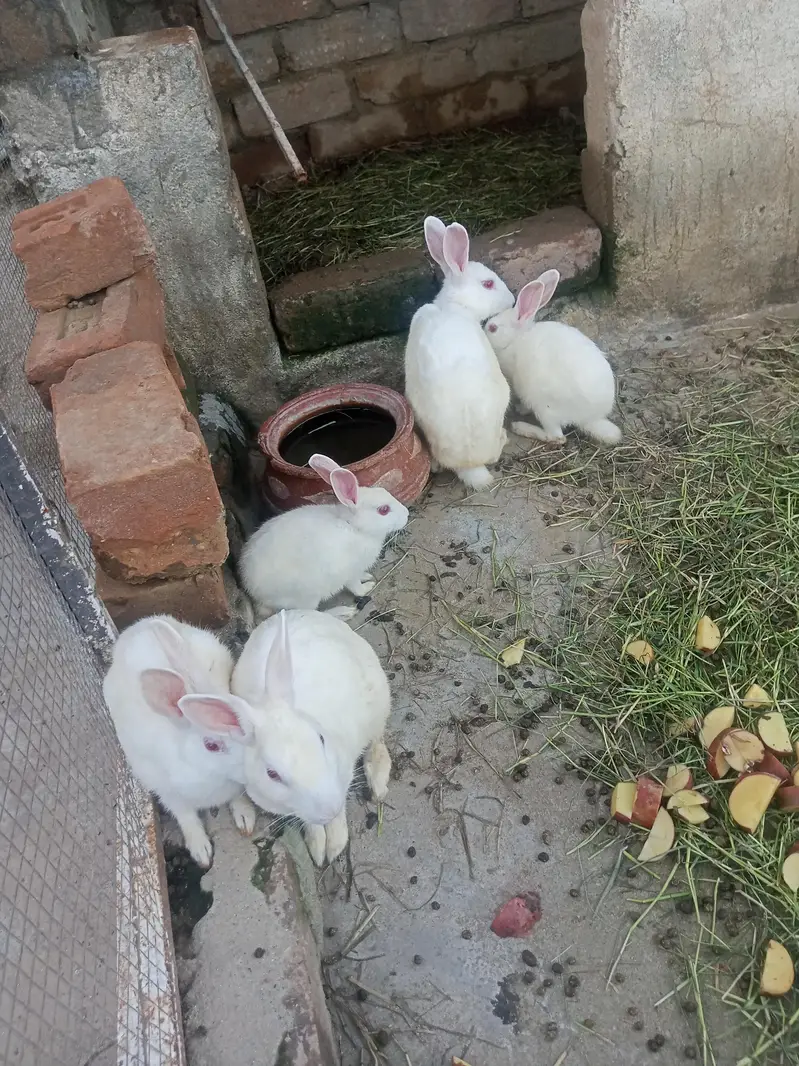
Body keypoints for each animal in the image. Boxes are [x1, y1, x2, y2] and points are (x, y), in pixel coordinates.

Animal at [103, 614, 257, 867]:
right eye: (211, 745)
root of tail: (135, 628)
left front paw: (245, 817)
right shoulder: (166, 790)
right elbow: (185, 814)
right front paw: (201, 851)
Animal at [230, 609, 392, 866]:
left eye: (321, 739)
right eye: (272, 774)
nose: (327, 807)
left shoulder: (340, 777)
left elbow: (338, 810)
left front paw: (334, 845)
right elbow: (312, 821)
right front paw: (317, 847)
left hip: (379, 701)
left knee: (377, 742)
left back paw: (377, 782)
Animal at [238, 453, 408, 622]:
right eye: (383, 510)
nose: (407, 514)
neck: (353, 527)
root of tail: (257, 596)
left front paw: (367, 576)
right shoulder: (350, 573)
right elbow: (356, 588)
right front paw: (368, 586)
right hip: (307, 596)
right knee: (311, 612)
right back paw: (343, 612)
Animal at [484, 269, 622, 445]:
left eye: (493, 328)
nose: (484, 330)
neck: (515, 339)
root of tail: (590, 418)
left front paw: (520, 410)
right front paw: (521, 408)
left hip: (545, 407)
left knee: (557, 437)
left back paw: (521, 427)